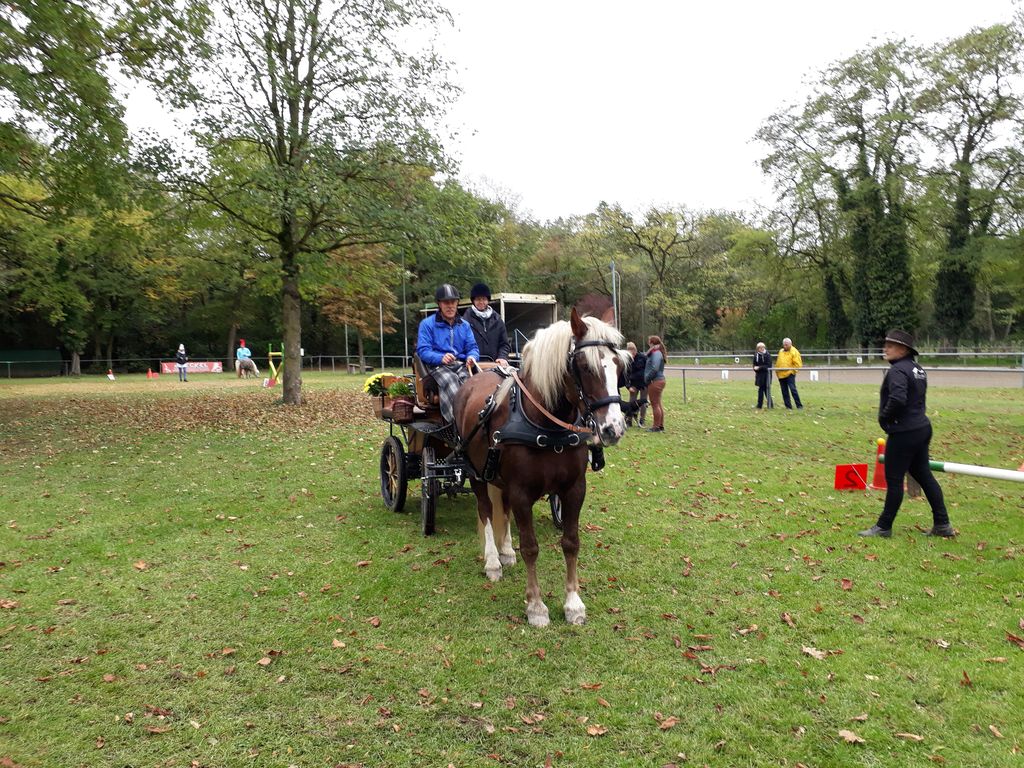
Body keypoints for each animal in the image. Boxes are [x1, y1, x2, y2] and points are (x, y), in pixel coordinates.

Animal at [454, 307, 626, 626]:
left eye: (619, 365)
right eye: (584, 366)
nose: (613, 428)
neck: (545, 424)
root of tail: (474, 378)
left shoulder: (574, 489)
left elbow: (570, 542)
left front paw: (573, 603)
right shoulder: (521, 492)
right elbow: (531, 547)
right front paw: (535, 606)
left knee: (503, 510)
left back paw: (506, 551)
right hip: (475, 473)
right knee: (486, 511)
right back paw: (493, 561)